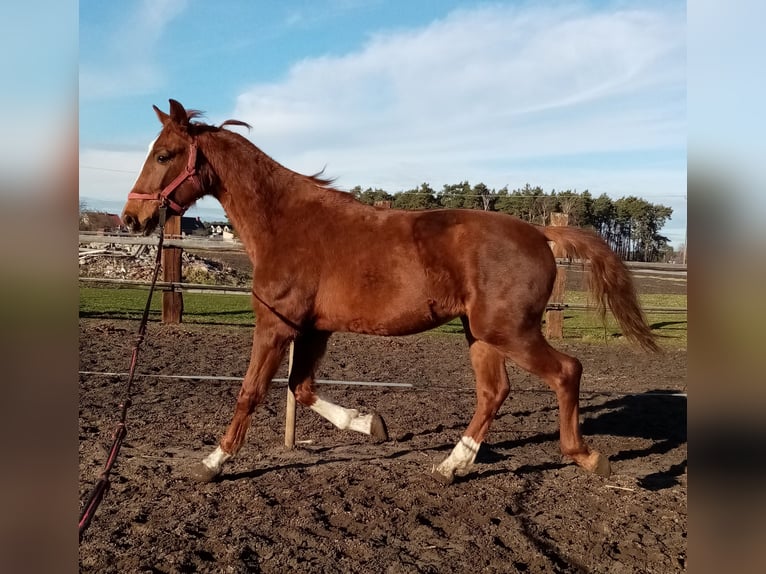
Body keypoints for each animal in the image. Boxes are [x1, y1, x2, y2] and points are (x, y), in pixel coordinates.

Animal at [120, 99, 660, 486]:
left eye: (164, 155)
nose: (132, 218)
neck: (286, 222)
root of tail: (541, 234)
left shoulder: (277, 325)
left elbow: (251, 392)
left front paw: (211, 463)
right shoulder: (313, 329)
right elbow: (302, 388)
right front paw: (371, 424)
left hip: (508, 331)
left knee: (567, 372)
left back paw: (588, 458)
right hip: (482, 334)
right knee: (494, 392)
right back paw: (452, 466)